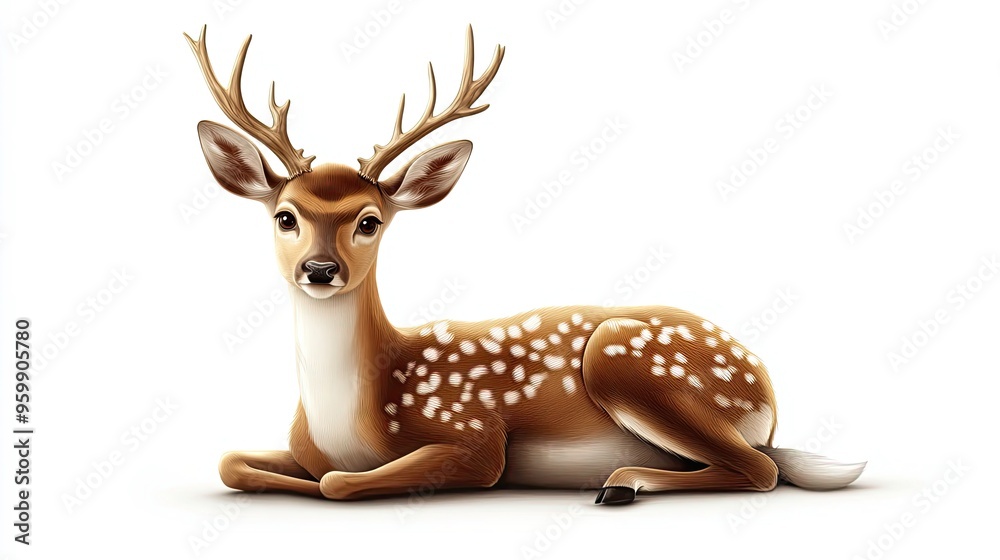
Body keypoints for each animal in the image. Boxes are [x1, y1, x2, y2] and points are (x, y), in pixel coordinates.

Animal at [184, 24, 865, 505]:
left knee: (761, 468)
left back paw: (622, 482)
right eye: (285, 217)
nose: (320, 270)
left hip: (626, 361)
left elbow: (335, 483)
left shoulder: (476, 438)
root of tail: (767, 393)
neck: (353, 420)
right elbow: (229, 462)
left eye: (370, 221)